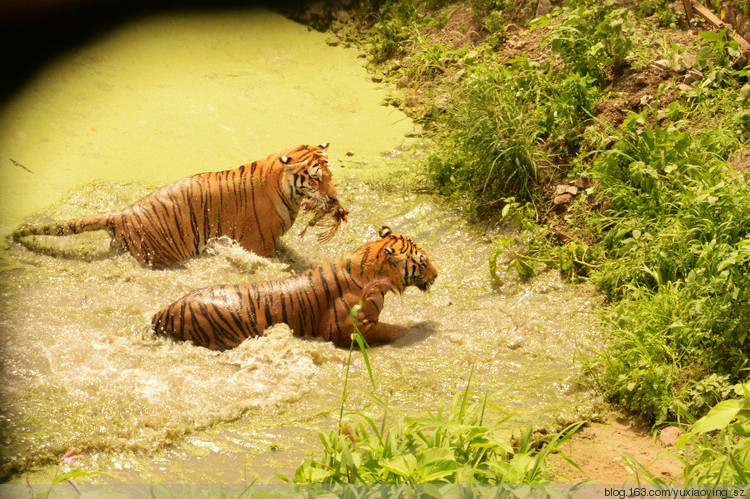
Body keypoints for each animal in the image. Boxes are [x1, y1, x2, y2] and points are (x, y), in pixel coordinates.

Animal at [10, 143, 346, 268]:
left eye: (331, 174)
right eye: (316, 178)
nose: (333, 199)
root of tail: (122, 213)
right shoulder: (258, 244)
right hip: (163, 251)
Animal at [150, 228, 438, 352]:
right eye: (422, 261)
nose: (437, 275)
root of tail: (168, 309)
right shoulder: (349, 328)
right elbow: (393, 330)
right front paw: (417, 329)